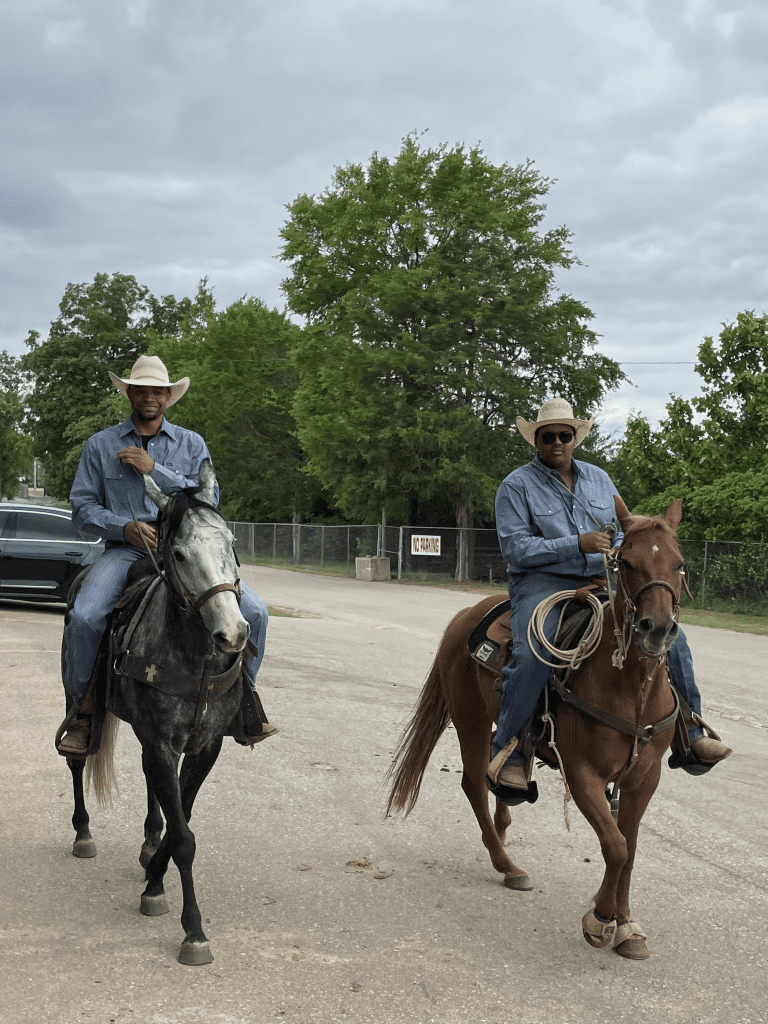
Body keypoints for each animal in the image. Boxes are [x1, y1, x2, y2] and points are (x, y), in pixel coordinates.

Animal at [62, 460, 250, 962]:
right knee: (76, 760)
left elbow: (181, 813)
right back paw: (83, 833)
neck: (196, 657)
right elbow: (184, 837)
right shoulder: (163, 743)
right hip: (76, 699)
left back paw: (148, 845)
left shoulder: (203, 747)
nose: (233, 634)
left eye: (231, 543)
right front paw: (193, 930)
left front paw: (154, 878)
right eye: (180, 555)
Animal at [391, 495, 684, 958]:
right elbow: (616, 846)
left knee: (500, 774)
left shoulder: (644, 777)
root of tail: (464, 614)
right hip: (471, 721)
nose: (656, 629)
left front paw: (626, 925)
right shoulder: (582, 774)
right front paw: (600, 917)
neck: (631, 690)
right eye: (627, 563)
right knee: (474, 784)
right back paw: (507, 866)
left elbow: (631, 848)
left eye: (679, 563)